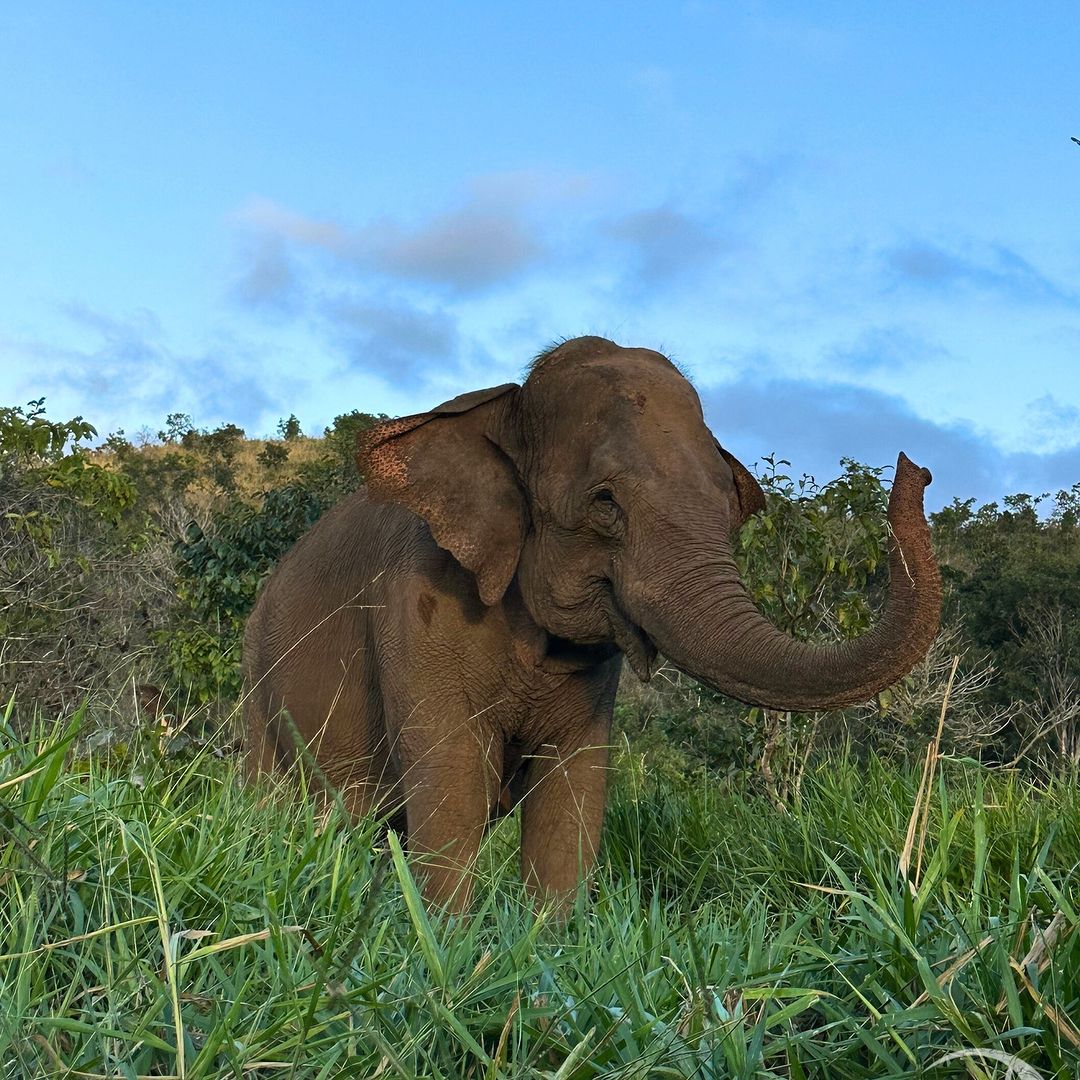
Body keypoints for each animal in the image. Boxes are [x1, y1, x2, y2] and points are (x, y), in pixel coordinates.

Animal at [240, 334, 941, 911]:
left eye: (726, 502)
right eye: (605, 502)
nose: (918, 468)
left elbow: (573, 796)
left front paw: (543, 952)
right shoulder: (419, 607)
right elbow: (454, 782)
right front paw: (446, 945)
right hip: (256, 684)